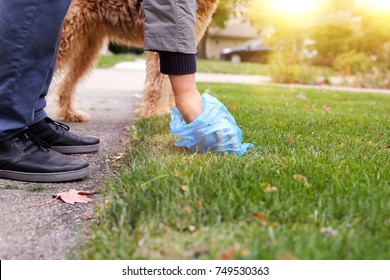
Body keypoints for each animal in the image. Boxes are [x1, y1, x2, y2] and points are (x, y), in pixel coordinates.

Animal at [55, 0, 219, 122]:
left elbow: (171, 84)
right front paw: (154, 114)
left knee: (66, 83)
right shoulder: (164, 38)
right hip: (67, 34)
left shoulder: (182, 43)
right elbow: (158, 84)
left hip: (88, 46)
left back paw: (70, 113)